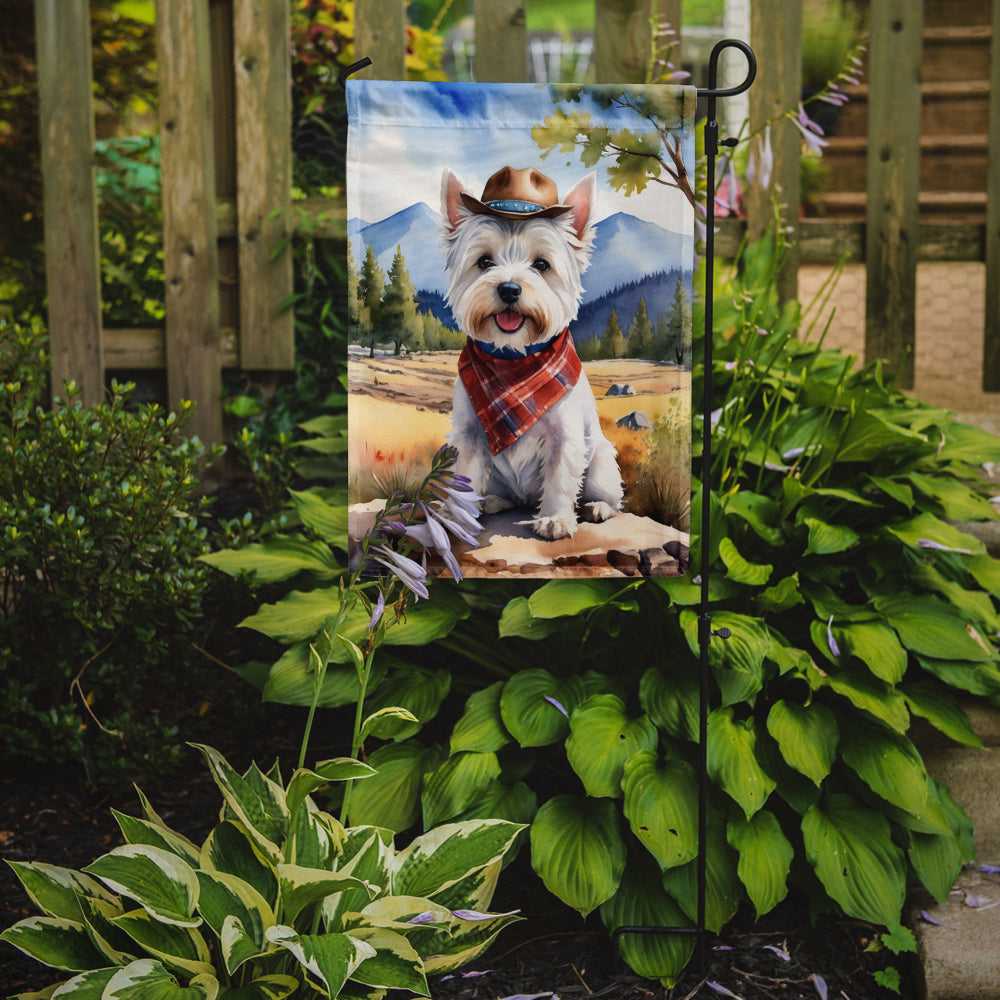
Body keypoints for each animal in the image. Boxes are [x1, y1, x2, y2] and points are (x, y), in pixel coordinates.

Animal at [442, 166, 620, 540]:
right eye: (484, 261)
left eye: (541, 264)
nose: (509, 289)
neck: (514, 361)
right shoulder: (469, 435)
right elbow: (465, 476)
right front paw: (457, 518)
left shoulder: (565, 436)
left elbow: (560, 478)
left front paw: (555, 519)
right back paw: (490, 502)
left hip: (600, 460)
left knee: (609, 494)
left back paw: (597, 507)